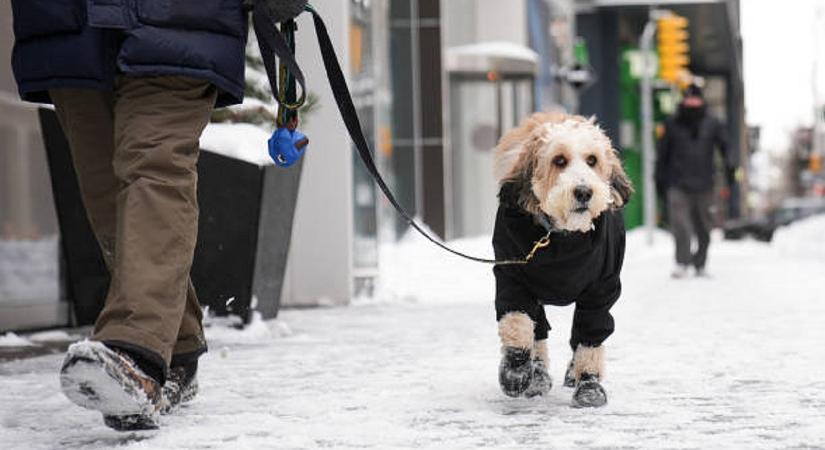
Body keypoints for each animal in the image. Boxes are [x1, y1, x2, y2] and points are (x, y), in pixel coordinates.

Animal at [490, 112, 632, 408]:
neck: (562, 237)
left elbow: (590, 336)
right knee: (538, 329)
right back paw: (537, 374)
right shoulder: (512, 277)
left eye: (592, 160)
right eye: (559, 160)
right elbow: (517, 321)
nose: (583, 192)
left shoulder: (602, 289)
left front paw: (589, 384)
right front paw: (515, 371)